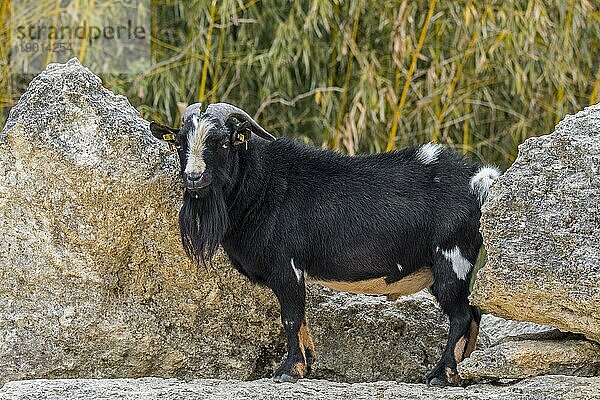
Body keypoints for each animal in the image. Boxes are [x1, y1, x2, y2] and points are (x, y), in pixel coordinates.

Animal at [150, 102, 502, 384]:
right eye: (180, 143)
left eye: (223, 142)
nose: (194, 177)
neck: (264, 185)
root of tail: (479, 180)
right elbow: (301, 319)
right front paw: (305, 365)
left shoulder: (287, 265)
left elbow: (291, 317)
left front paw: (288, 371)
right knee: (473, 313)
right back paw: (463, 369)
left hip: (452, 257)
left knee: (461, 315)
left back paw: (441, 375)